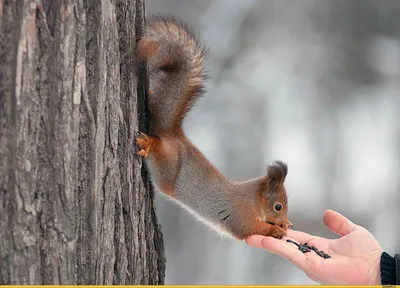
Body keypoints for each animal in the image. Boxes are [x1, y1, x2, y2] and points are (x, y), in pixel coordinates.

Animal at [136, 15, 292, 241]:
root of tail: (172, 135)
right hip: (166, 166)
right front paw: (276, 229)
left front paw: (285, 225)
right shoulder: (240, 215)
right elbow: (250, 229)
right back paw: (148, 144)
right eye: (278, 206)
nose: (283, 221)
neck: (254, 200)